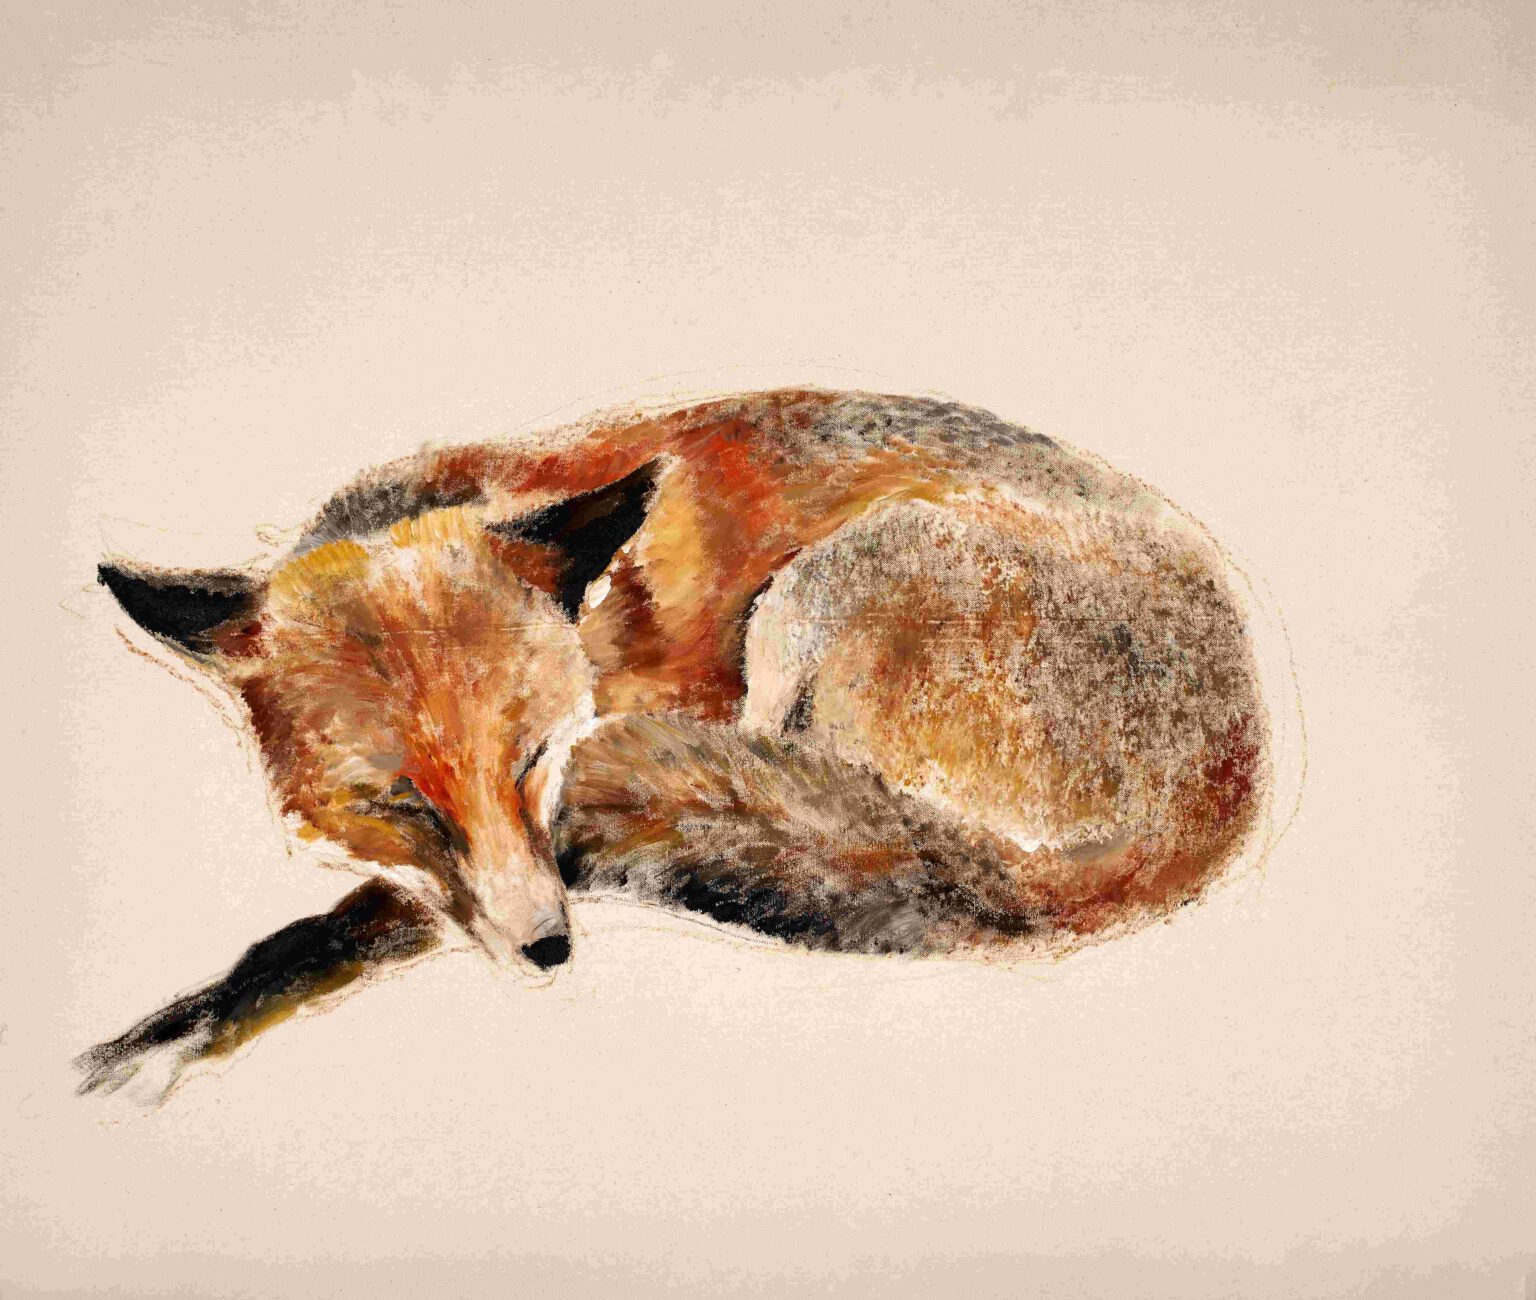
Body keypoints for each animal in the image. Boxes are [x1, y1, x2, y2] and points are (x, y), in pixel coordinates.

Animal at [80, 387, 1271, 1102]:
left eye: (533, 758)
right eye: (401, 802)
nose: (551, 952)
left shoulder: (553, 827)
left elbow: (333, 933)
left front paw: (170, 1042)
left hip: (816, 599)